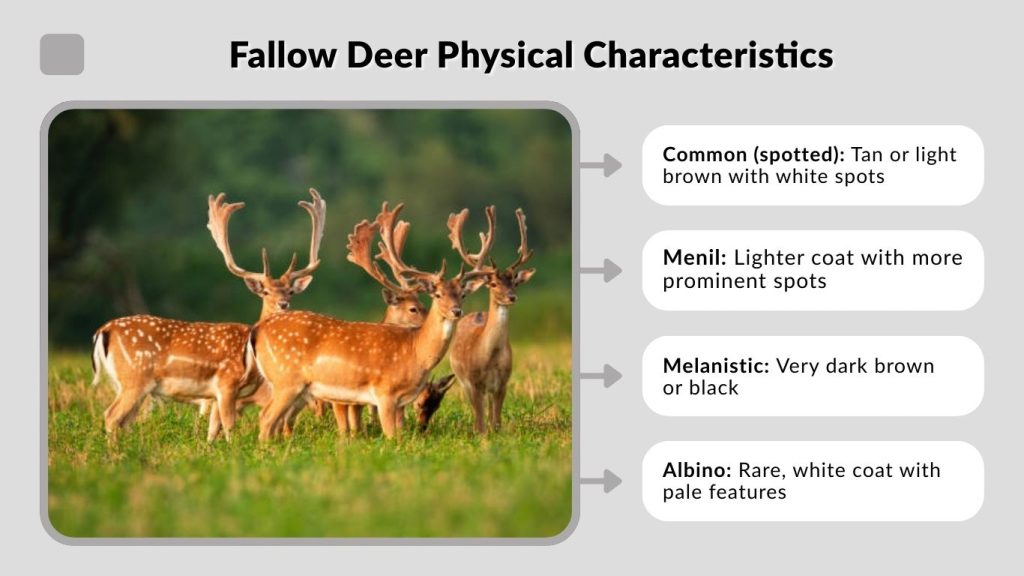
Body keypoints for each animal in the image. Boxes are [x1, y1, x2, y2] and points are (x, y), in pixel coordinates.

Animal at [90, 189, 325, 441]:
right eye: (265, 291)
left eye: (290, 291)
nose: (283, 304)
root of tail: (103, 330)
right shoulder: (226, 383)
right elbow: (230, 427)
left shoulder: (214, 395)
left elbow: (212, 431)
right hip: (135, 378)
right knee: (111, 415)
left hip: (126, 384)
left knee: (124, 420)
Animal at [250, 202, 488, 440]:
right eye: (437, 294)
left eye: (462, 294)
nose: (456, 311)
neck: (415, 352)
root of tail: (257, 330)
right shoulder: (385, 393)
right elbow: (391, 436)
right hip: (287, 380)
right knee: (266, 417)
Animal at [446, 206, 535, 434]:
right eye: (494, 283)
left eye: (514, 282)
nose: (512, 297)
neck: (490, 357)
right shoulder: (473, 381)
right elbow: (480, 421)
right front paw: (480, 434)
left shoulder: (503, 382)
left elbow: (496, 420)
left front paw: (497, 432)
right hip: (462, 380)